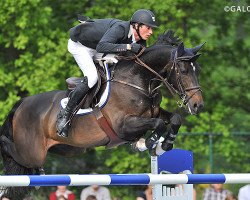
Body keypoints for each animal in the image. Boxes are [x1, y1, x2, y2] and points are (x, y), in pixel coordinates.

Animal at [0, 30, 203, 198]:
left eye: (197, 70)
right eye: (183, 71)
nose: (198, 105)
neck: (139, 80)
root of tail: (22, 103)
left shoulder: (154, 113)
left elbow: (174, 118)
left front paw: (164, 144)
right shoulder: (123, 126)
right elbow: (158, 124)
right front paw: (148, 143)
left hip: (67, 149)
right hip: (31, 152)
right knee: (9, 148)